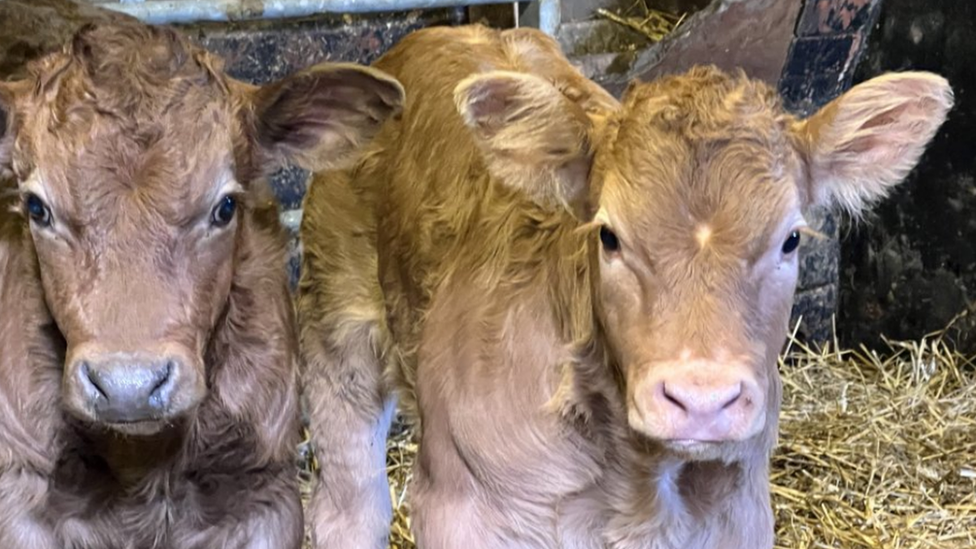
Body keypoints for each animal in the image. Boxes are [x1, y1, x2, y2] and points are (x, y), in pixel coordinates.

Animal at [300, 23, 952, 544]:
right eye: (609, 236)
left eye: (790, 239)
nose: (701, 400)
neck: (639, 479)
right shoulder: (463, 509)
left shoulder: (740, 514)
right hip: (337, 329)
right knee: (350, 507)